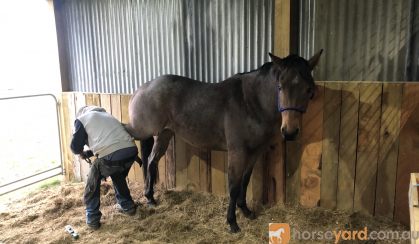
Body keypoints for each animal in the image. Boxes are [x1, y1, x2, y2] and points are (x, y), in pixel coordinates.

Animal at [126, 50, 324, 233]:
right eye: (280, 87)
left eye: (309, 90)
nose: (290, 132)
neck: (251, 102)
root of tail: (141, 89)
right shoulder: (237, 152)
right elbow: (234, 185)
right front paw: (232, 222)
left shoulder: (254, 152)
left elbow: (245, 181)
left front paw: (246, 211)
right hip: (142, 130)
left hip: (164, 134)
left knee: (151, 161)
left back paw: (150, 198)